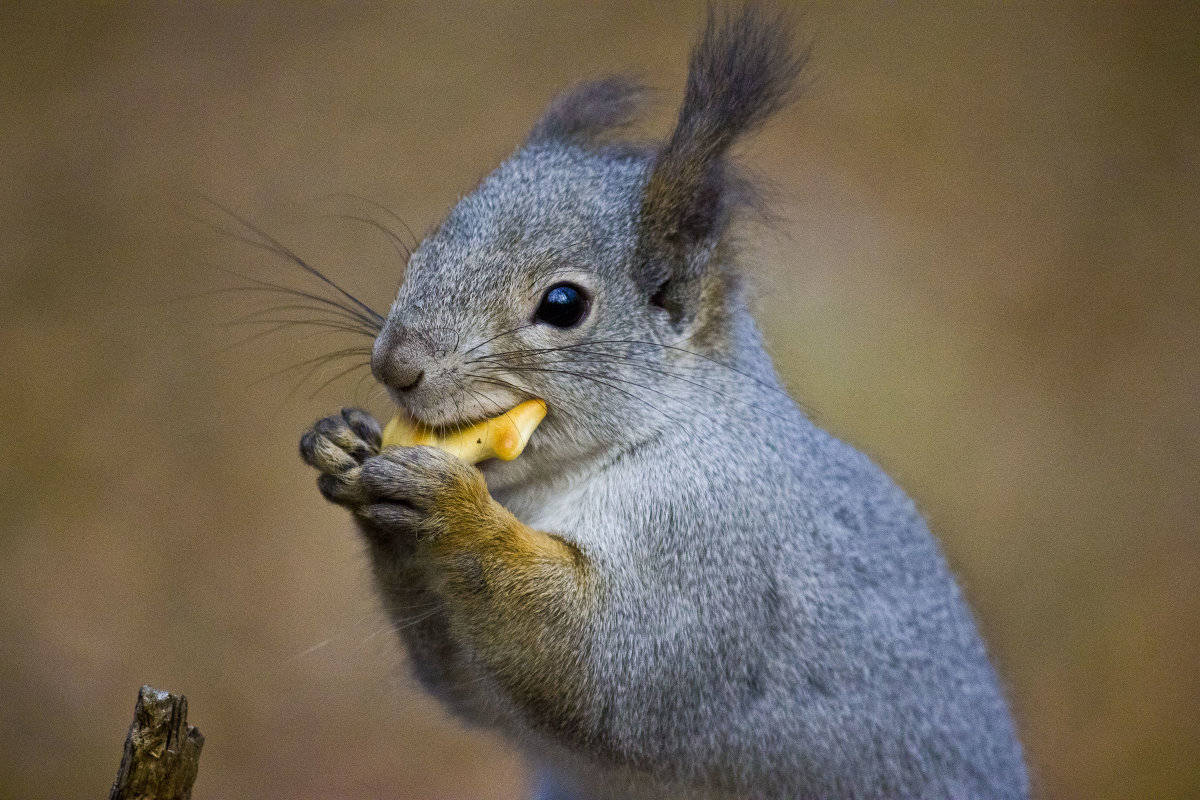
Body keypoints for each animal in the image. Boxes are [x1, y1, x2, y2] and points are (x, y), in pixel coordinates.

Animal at [295, 7, 1027, 800]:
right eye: (423, 250)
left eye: (563, 304)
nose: (394, 363)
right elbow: (466, 687)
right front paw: (345, 445)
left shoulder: (712, 541)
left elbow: (605, 671)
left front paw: (450, 509)